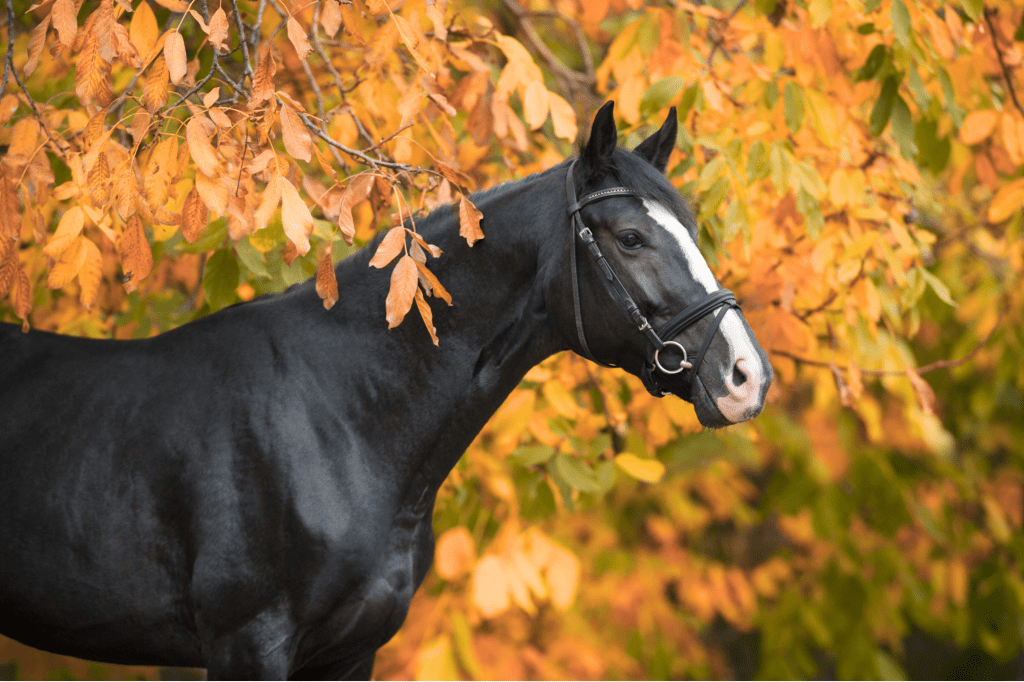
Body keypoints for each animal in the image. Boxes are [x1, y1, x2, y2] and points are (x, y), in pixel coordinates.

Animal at [0, 103, 770, 675]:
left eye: (693, 229)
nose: (747, 376)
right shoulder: (248, 644)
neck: (339, 421)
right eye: (631, 237)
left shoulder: (350, 652)